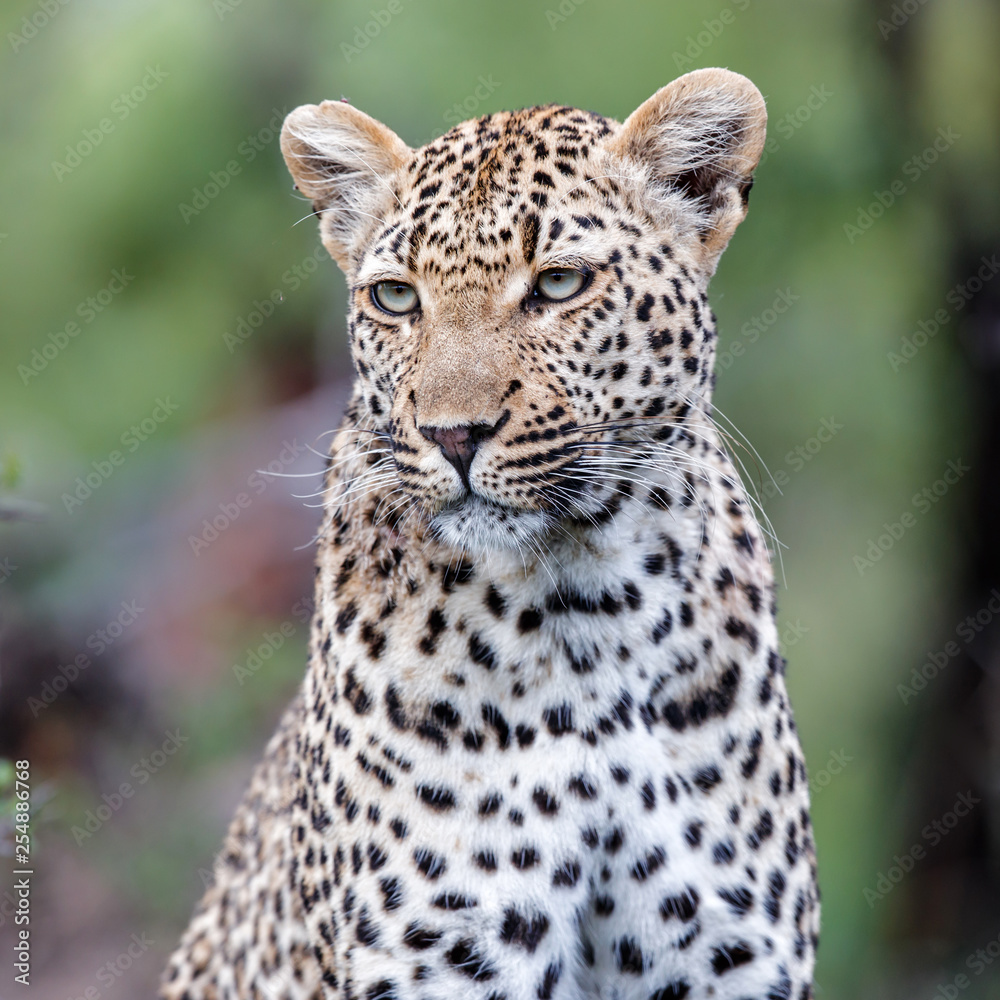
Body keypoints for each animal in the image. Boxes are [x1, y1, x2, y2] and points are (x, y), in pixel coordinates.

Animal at [160, 67, 819, 1000]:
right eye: (396, 297)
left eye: (559, 285)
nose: (452, 434)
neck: (587, 608)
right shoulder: (439, 958)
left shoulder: (727, 958)